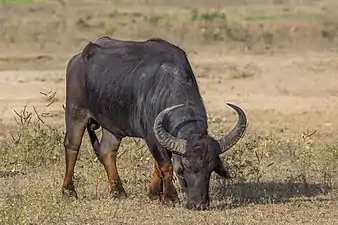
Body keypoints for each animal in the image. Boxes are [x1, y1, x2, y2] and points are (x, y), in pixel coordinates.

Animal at [62, 36, 247, 210]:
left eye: (210, 170)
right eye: (181, 171)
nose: (198, 204)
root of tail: (78, 58)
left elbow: (158, 166)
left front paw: (155, 194)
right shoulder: (152, 137)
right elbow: (165, 165)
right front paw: (170, 198)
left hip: (112, 126)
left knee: (107, 151)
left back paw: (118, 191)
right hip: (75, 112)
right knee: (72, 146)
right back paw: (69, 191)